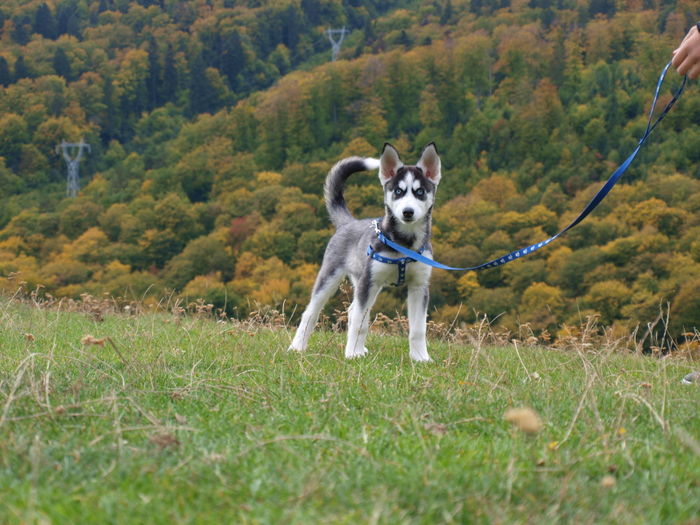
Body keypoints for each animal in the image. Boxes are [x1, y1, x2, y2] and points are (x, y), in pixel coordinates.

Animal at [288, 141, 440, 360]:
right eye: (398, 191)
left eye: (420, 192)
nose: (407, 212)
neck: (404, 244)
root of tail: (348, 223)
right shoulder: (369, 281)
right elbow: (360, 324)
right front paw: (352, 354)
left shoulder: (419, 286)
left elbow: (418, 328)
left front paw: (421, 358)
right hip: (333, 277)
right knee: (312, 312)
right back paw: (298, 346)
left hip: (362, 280)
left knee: (353, 310)